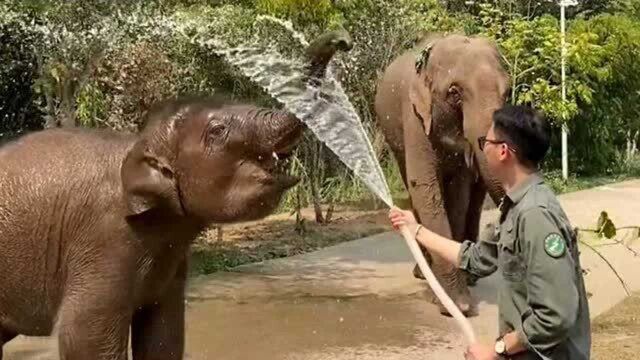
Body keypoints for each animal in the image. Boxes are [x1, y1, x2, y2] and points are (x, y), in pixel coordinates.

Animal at [376, 33, 510, 316]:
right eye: (454, 93)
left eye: (507, 92)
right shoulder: (414, 117)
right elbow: (425, 188)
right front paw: (458, 305)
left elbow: (458, 195)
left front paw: (458, 298)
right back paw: (423, 272)